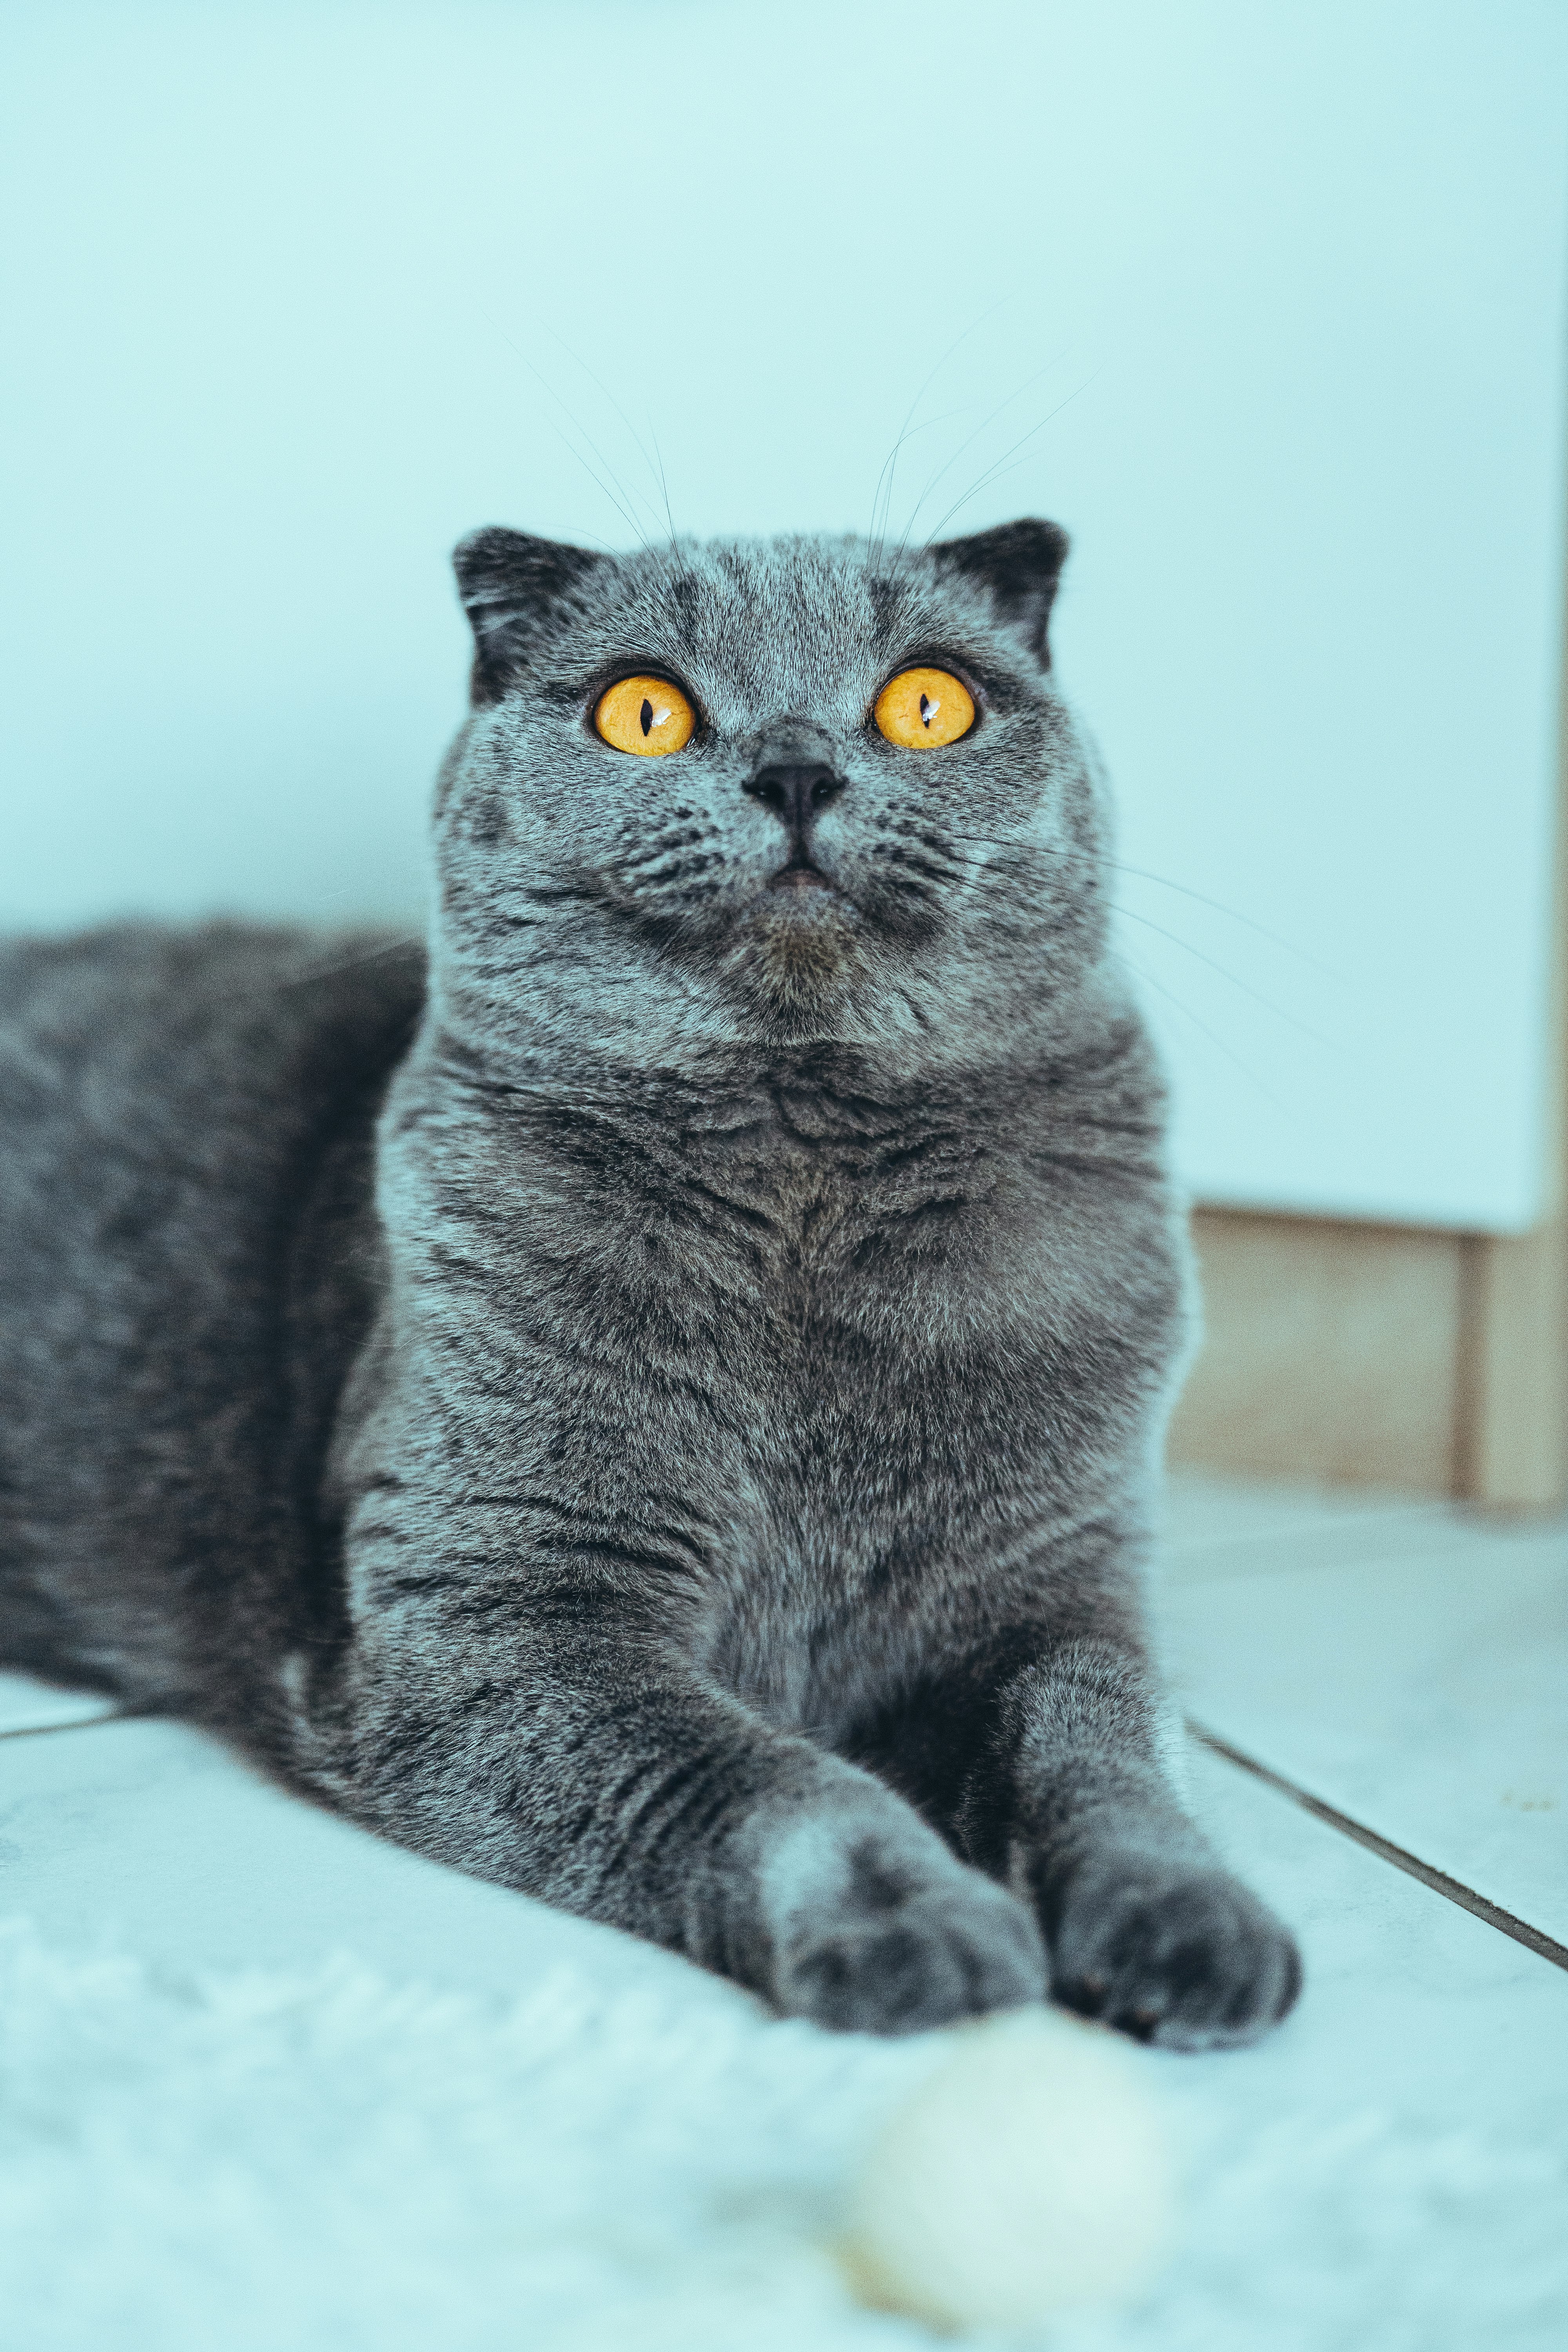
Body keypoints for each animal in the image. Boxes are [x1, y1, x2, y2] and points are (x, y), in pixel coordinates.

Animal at [0, 515, 1298, 2042]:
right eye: (644, 709)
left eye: (928, 702)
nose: (795, 770)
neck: (806, 1190)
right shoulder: (507, 1606)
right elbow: (772, 1778)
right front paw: (916, 1928)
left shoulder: (1054, 1582)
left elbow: (1102, 1738)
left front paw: (1188, 1917)